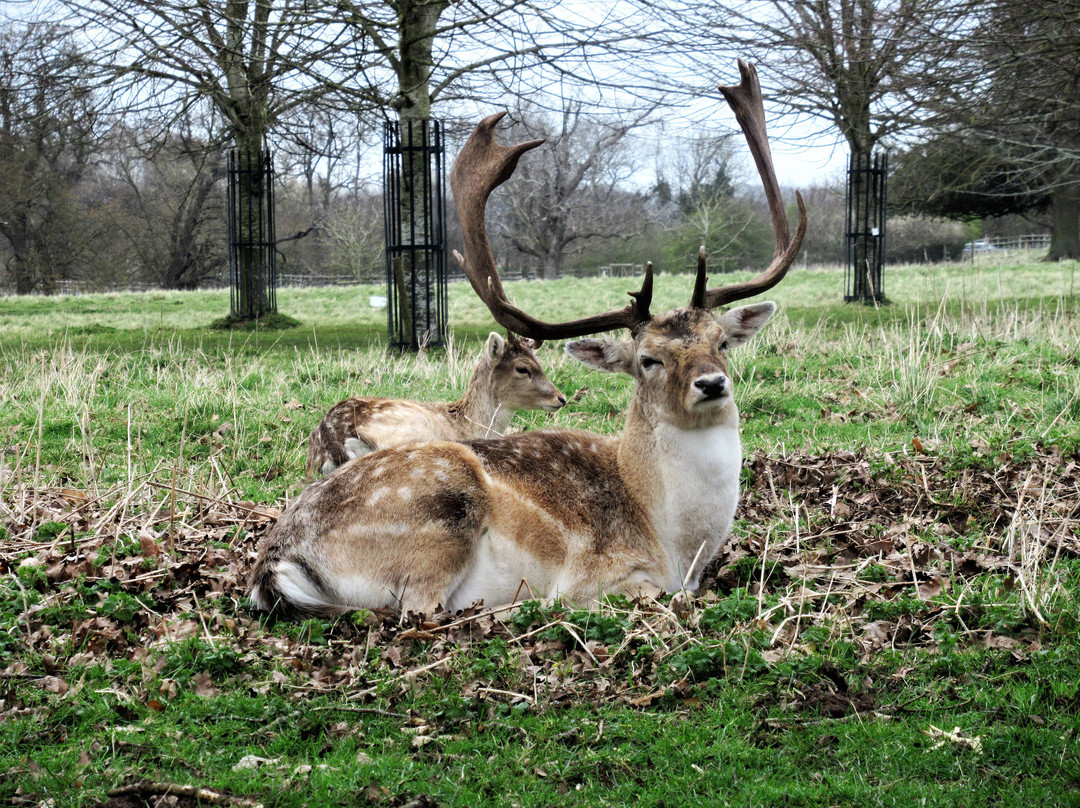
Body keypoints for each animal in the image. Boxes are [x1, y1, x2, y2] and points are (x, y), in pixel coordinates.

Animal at [250, 61, 803, 617]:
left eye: (721, 342)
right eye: (648, 359)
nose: (711, 384)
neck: (677, 544)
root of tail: (275, 560)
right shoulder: (603, 572)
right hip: (440, 509)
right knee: (421, 612)